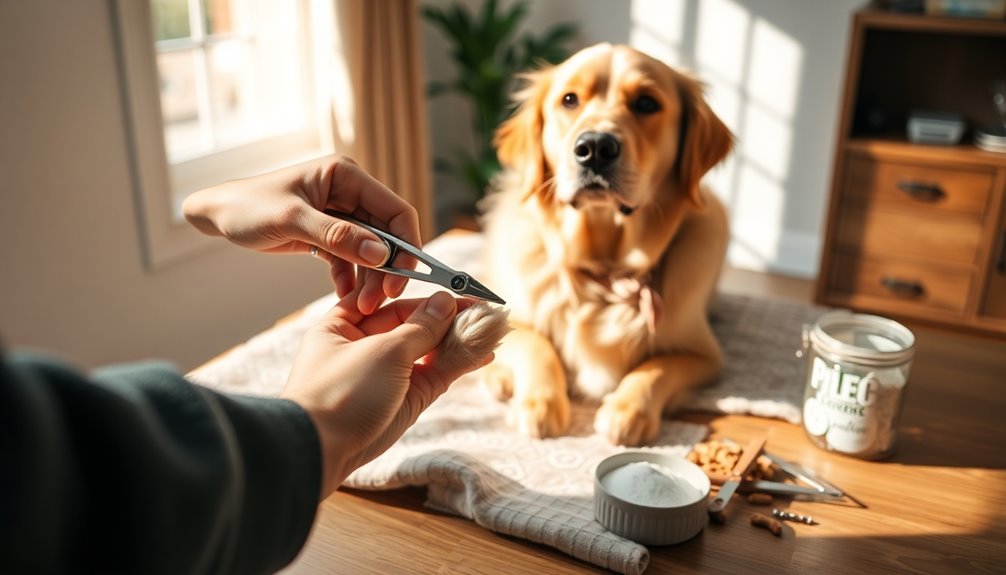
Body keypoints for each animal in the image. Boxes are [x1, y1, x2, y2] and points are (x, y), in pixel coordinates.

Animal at [476, 42, 732, 446]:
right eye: (569, 99)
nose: (595, 147)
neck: (605, 270)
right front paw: (540, 403)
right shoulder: (515, 316)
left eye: (646, 103)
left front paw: (628, 409)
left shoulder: (705, 355)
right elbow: (535, 343)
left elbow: (658, 366)